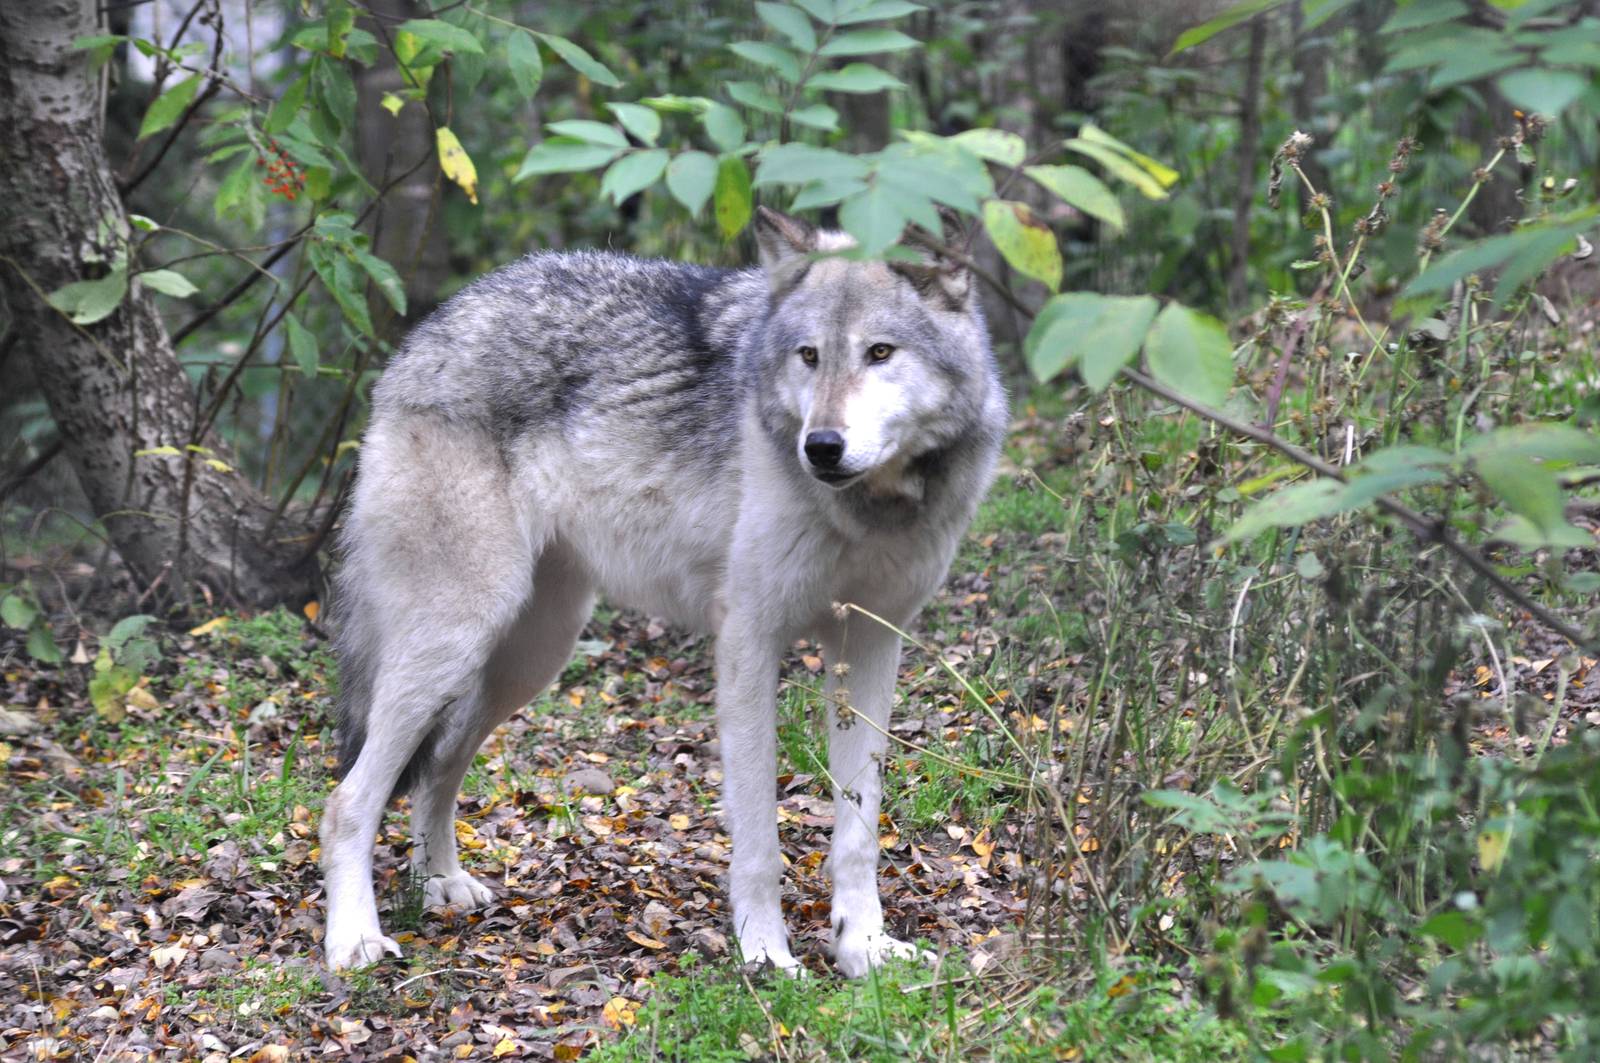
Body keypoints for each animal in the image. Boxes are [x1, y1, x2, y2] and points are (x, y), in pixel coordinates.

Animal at [319, 207, 1006, 977]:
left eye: (880, 352)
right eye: (808, 356)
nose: (821, 447)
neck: (870, 506)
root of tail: (421, 333)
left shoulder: (873, 643)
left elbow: (858, 828)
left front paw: (863, 949)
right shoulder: (748, 643)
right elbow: (759, 836)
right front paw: (766, 956)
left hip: (526, 655)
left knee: (437, 767)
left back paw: (441, 882)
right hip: (457, 639)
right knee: (348, 800)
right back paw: (353, 939)